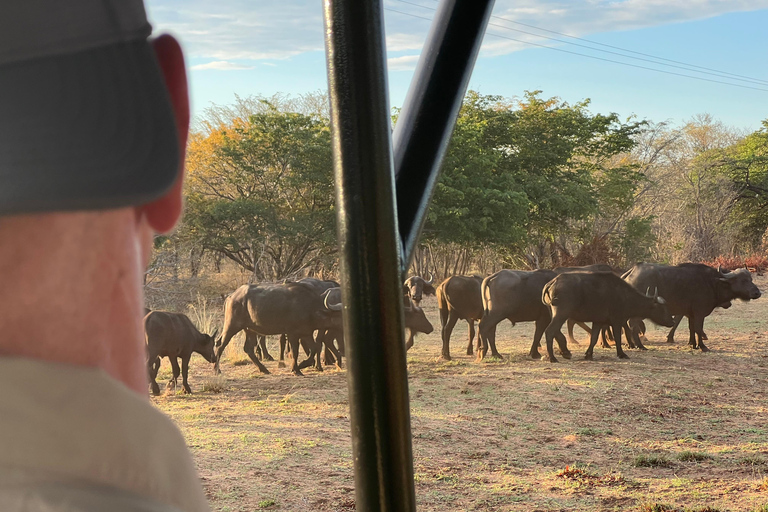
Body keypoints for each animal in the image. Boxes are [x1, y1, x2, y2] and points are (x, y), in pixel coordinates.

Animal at [540, 272, 672, 360]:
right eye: (663, 308)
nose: (672, 322)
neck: (624, 296)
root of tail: (553, 281)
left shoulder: (598, 321)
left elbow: (594, 338)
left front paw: (588, 354)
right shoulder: (617, 321)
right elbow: (618, 338)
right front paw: (622, 354)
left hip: (554, 313)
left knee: (555, 331)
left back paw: (564, 352)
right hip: (562, 314)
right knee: (550, 331)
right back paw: (552, 358)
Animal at [624, 264, 760, 352]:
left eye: (751, 279)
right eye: (743, 280)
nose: (757, 293)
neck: (713, 283)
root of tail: (632, 272)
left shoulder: (691, 314)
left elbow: (692, 329)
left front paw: (693, 345)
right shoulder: (699, 313)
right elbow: (698, 329)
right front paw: (703, 346)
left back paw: (632, 345)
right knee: (633, 324)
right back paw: (640, 346)